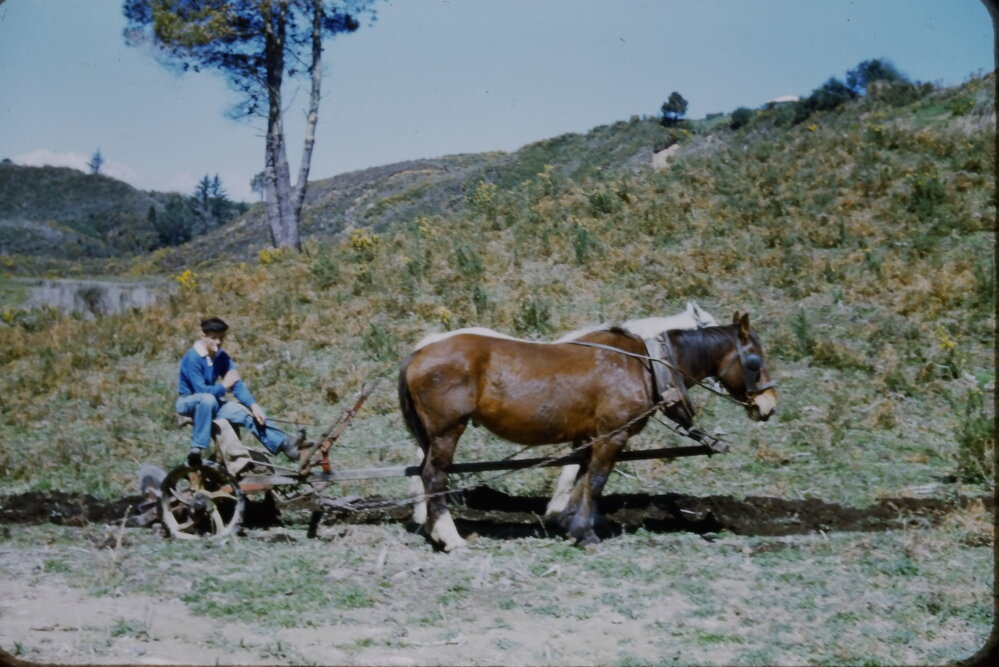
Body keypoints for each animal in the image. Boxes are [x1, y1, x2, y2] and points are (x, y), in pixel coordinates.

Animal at [398, 311, 776, 550]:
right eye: (754, 361)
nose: (769, 404)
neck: (644, 364)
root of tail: (420, 351)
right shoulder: (613, 435)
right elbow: (596, 481)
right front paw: (585, 533)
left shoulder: (592, 436)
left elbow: (580, 479)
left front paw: (571, 524)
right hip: (447, 431)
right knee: (434, 476)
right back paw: (449, 536)